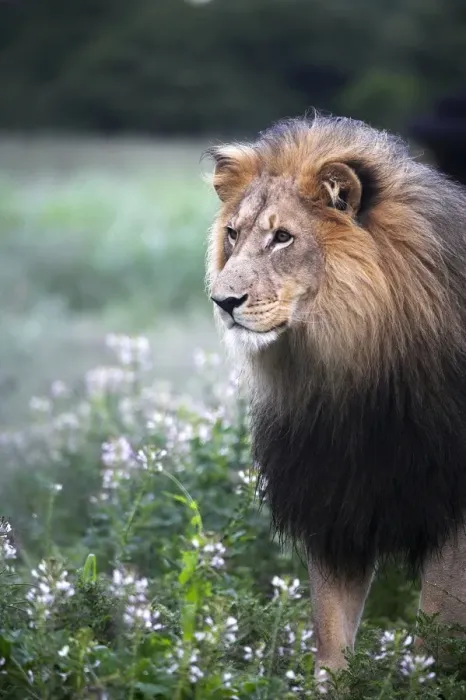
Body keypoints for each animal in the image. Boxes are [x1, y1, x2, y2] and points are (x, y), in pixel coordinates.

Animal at [205, 113, 466, 678]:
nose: (223, 301)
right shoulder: (334, 503)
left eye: (283, 237)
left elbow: (435, 642)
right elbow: (331, 642)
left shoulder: (452, 514)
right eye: (233, 234)